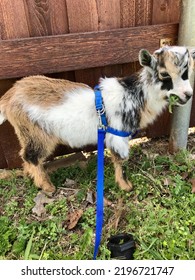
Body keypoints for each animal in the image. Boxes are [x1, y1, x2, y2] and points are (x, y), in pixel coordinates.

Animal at [0, 46, 194, 195]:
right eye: (164, 74)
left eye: (186, 73)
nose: (188, 95)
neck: (133, 94)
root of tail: (10, 96)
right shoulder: (118, 135)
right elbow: (121, 161)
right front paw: (126, 186)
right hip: (36, 133)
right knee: (30, 156)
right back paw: (47, 186)